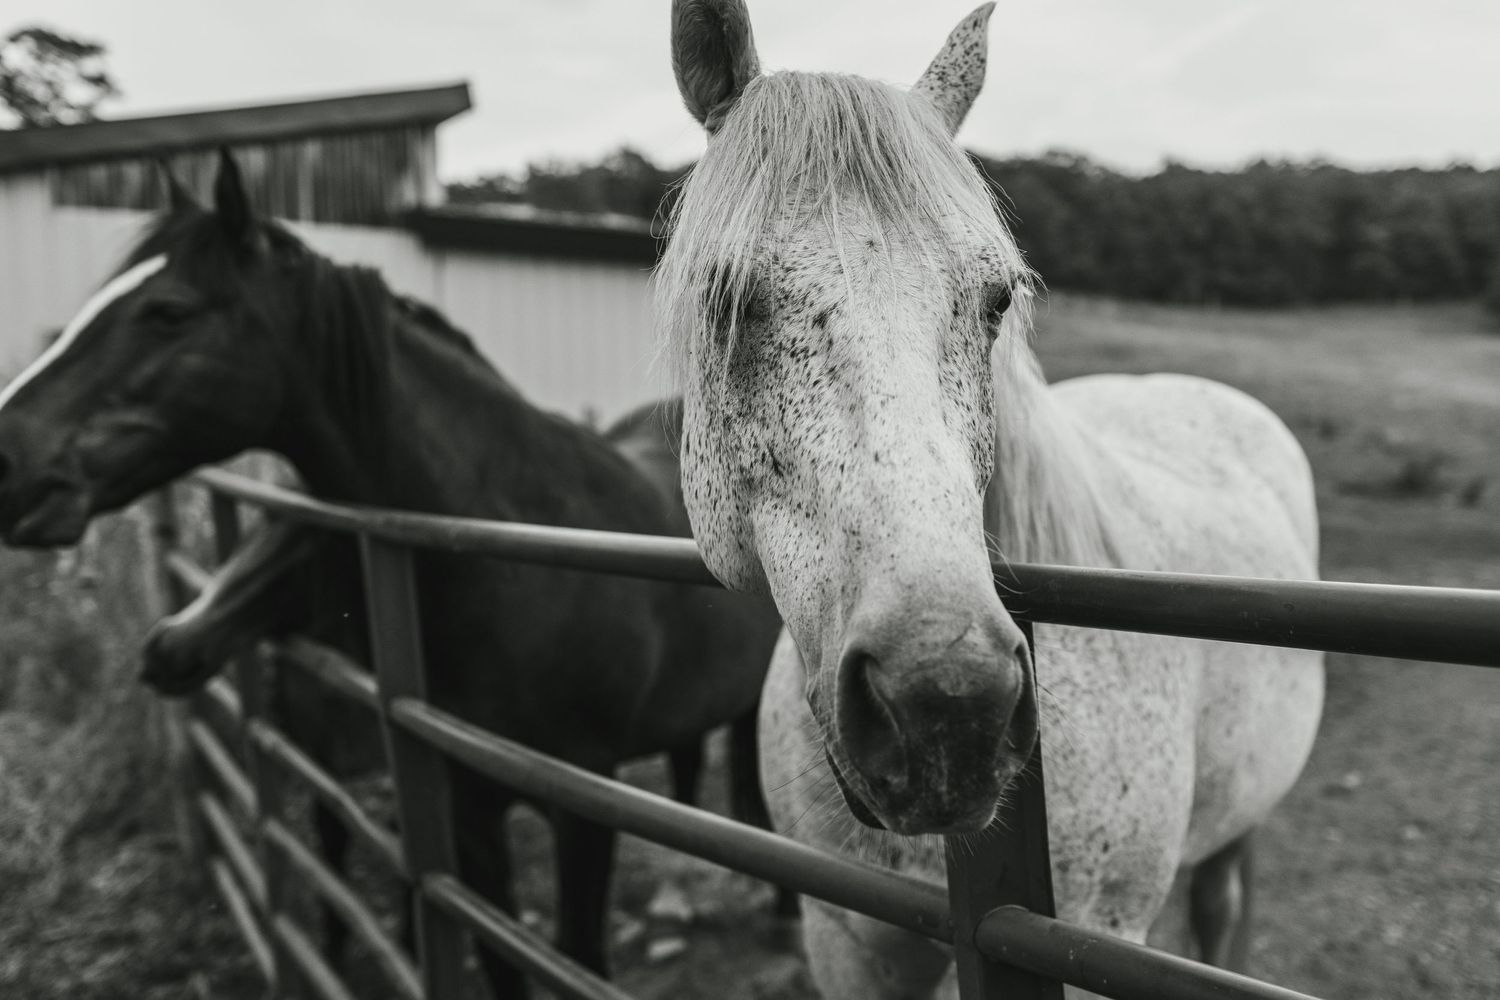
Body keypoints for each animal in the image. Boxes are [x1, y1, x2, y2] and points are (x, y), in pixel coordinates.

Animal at [0, 156, 784, 995]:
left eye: (169, 311)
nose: (8, 452)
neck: (514, 561)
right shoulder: (469, 811)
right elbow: (501, 959)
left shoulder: (584, 807)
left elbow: (576, 955)